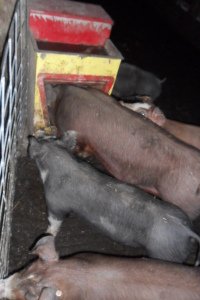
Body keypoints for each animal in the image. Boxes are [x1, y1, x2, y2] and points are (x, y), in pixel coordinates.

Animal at [28, 136, 200, 264]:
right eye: (49, 138)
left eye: (41, 140)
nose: (31, 137)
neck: (60, 163)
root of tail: (186, 230)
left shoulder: (55, 201)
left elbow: (54, 221)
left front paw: (47, 233)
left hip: (165, 252)